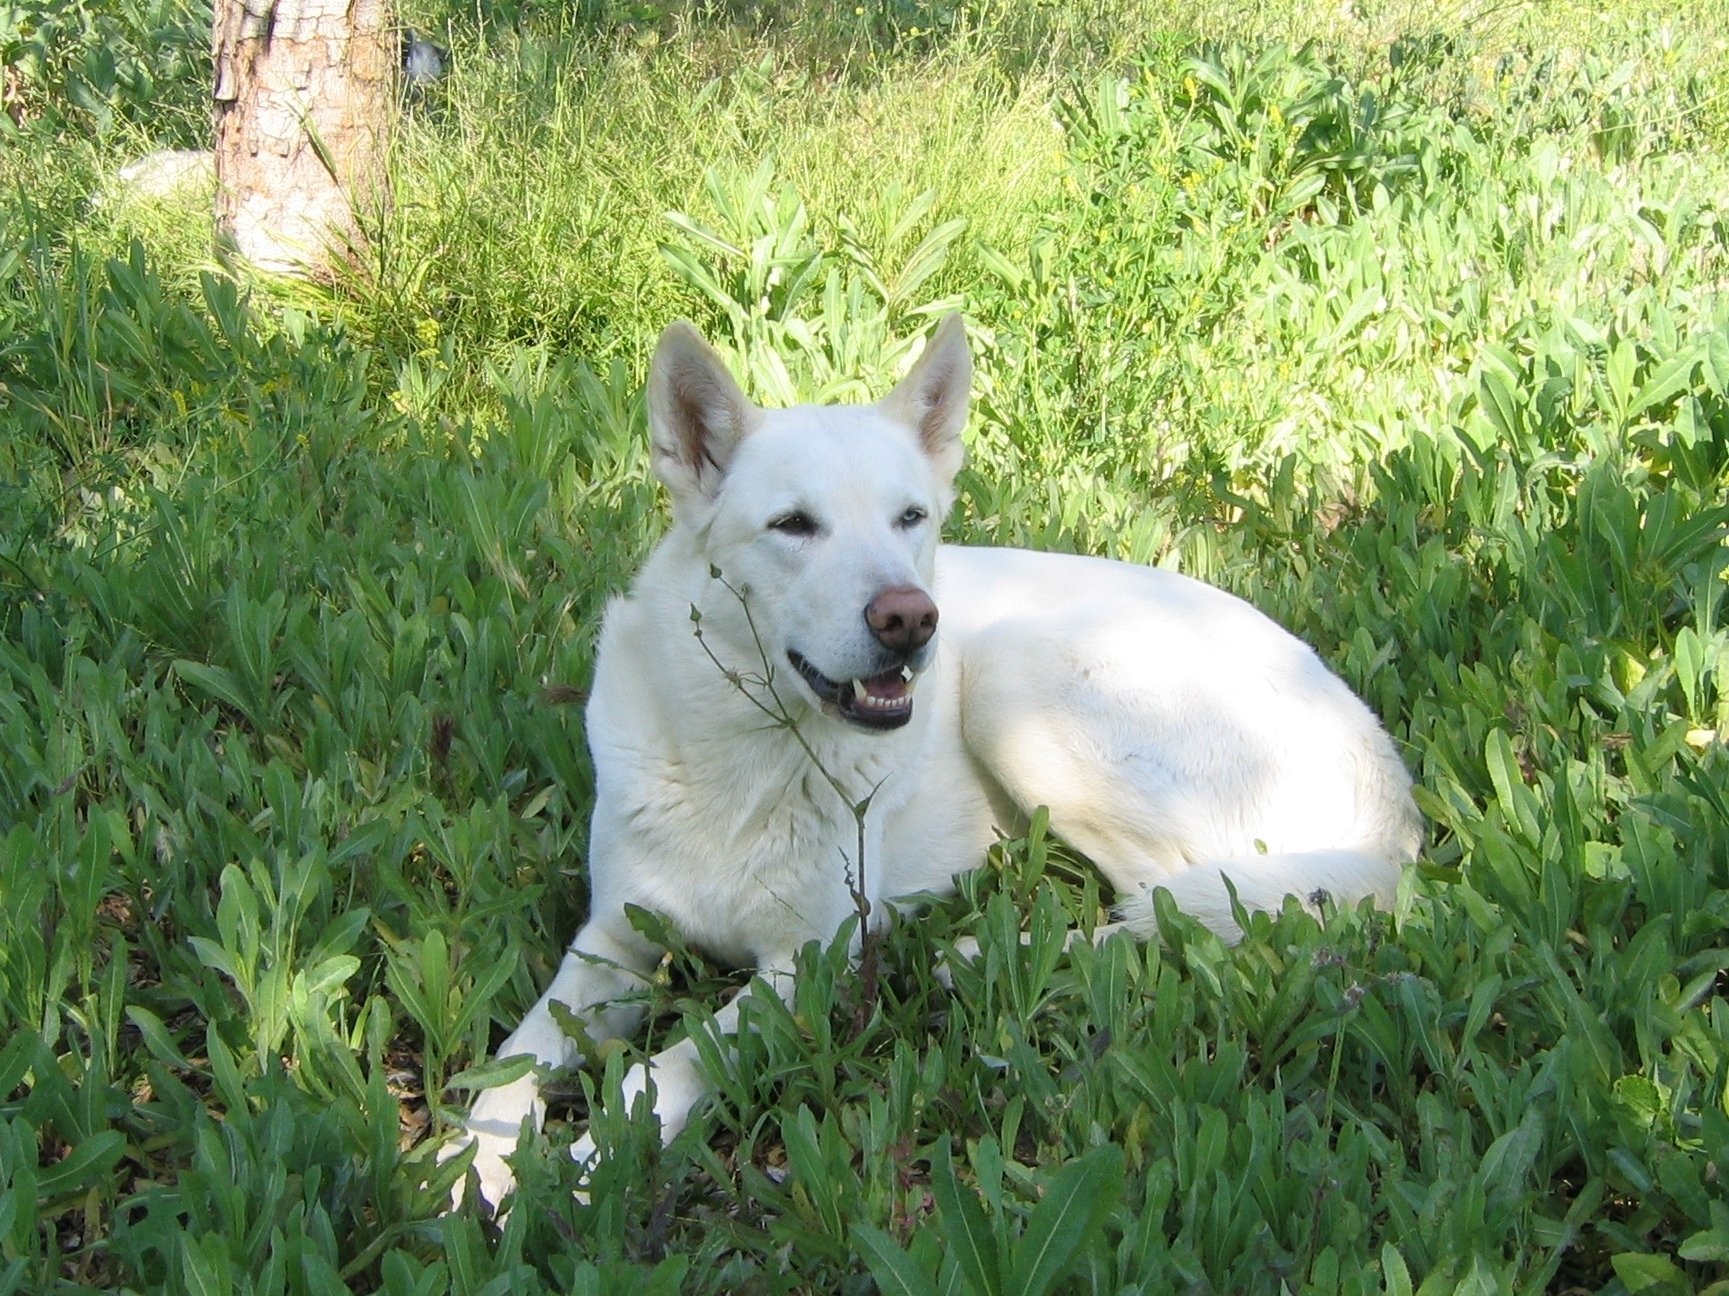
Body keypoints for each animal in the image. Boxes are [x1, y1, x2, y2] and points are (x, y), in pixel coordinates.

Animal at [452, 314, 1424, 1209]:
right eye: (792, 525)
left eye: (908, 518)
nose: (910, 619)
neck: (747, 752)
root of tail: (1386, 786)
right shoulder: (609, 943)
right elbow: (511, 1064)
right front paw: (467, 1171)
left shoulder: (802, 965)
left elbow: (676, 1061)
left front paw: (590, 1161)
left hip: (1013, 674)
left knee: (1193, 906)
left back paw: (983, 952)